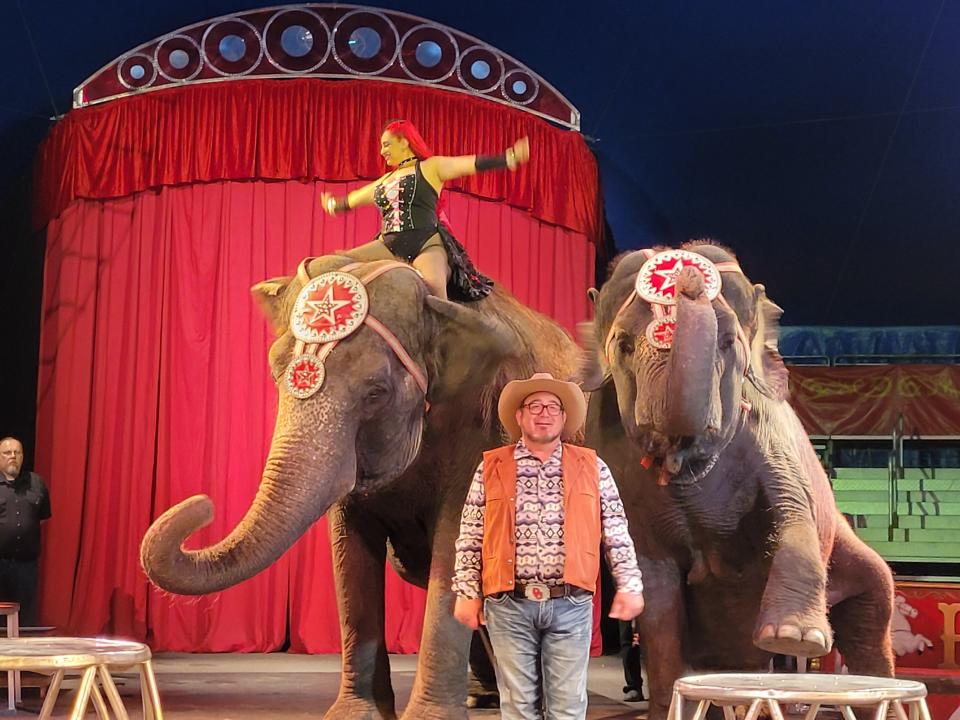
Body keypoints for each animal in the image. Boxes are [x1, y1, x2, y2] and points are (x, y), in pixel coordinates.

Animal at [141, 255, 576, 720]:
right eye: (275, 374)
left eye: (376, 392)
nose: (202, 505)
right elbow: (350, 556)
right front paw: (356, 713)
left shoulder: (481, 426)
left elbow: (454, 540)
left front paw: (427, 718)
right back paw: (485, 697)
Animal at [580, 242, 896, 720]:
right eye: (624, 345)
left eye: (728, 343)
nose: (684, 270)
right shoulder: (618, 467)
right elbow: (657, 592)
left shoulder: (774, 439)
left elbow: (793, 512)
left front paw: (796, 637)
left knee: (872, 617)